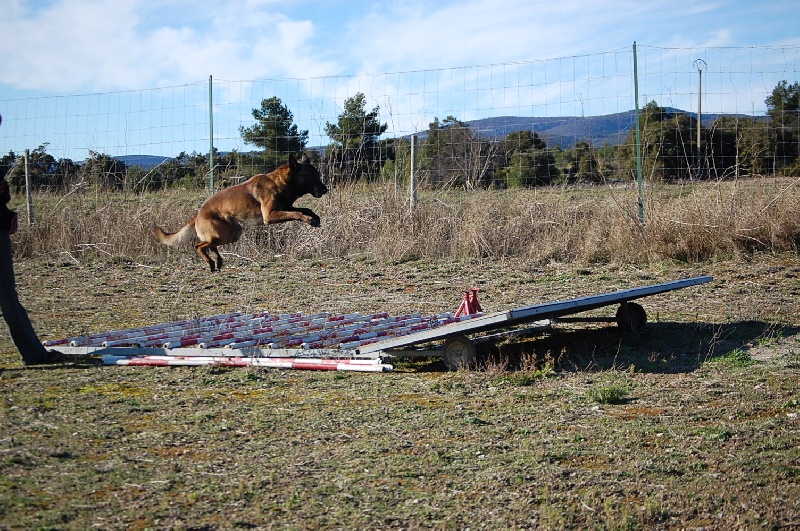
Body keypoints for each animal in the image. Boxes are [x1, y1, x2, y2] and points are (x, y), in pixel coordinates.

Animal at [153, 153, 328, 270]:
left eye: (317, 175)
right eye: (311, 176)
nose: (325, 189)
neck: (280, 183)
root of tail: (198, 214)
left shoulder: (284, 207)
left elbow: (304, 209)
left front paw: (314, 217)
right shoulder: (270, 216)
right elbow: (297, 214)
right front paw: (309, 219)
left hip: (232, 234)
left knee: (210, 245)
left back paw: (218, 261)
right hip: (223, 233)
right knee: (200, 246)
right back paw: (210, 263)